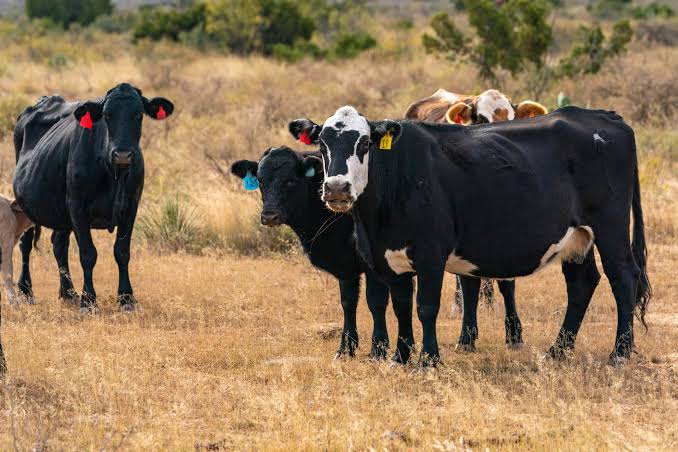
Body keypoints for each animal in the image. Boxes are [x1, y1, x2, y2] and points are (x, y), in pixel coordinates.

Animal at [13, 83, 174, 312]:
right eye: (107, 115)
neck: (113, 173)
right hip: (25, 205)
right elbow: (88, 254)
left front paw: (127, 298)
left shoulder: (131, 206)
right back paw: (26, 291)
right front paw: (88, 300)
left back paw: (68, 293)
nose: (122, 155)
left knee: (59, 245)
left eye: (139, 114)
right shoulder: (77, 206)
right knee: (25, 244)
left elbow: (122, 252)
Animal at [231, 147, 418, 362]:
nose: (269, 216)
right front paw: (345, 349)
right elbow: (348, 302)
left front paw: (377, 350)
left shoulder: (374, 266)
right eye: (261, 180)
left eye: (291, 180)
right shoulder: (346, 267)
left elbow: (376, 302)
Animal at [290, 104, 652, 366]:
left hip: (610, 226)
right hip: (577, 237)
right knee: (582, 284)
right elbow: (401, 306)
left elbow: (426, 307)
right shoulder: (389, 258)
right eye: (322, 143)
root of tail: (605, 116)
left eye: (364, 143)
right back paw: (558, 350)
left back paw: (619, 353)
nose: (337, 188)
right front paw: (400, 356)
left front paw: (429, 359)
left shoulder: (430, 253)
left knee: (623, 277)